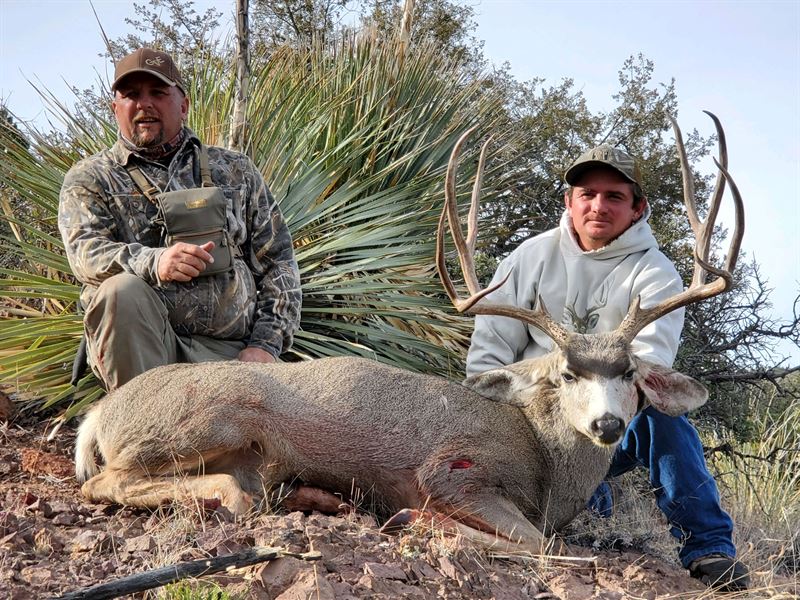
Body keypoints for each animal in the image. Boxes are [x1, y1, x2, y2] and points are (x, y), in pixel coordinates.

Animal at [75, 111, 744, 552]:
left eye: (628, 371)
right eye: (565, 373)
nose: (606, 424)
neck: (547, 467)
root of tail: (98, 415)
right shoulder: (451, 468)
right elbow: (536, 544)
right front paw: (419, 522)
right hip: (212, 417)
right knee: (113, 481)